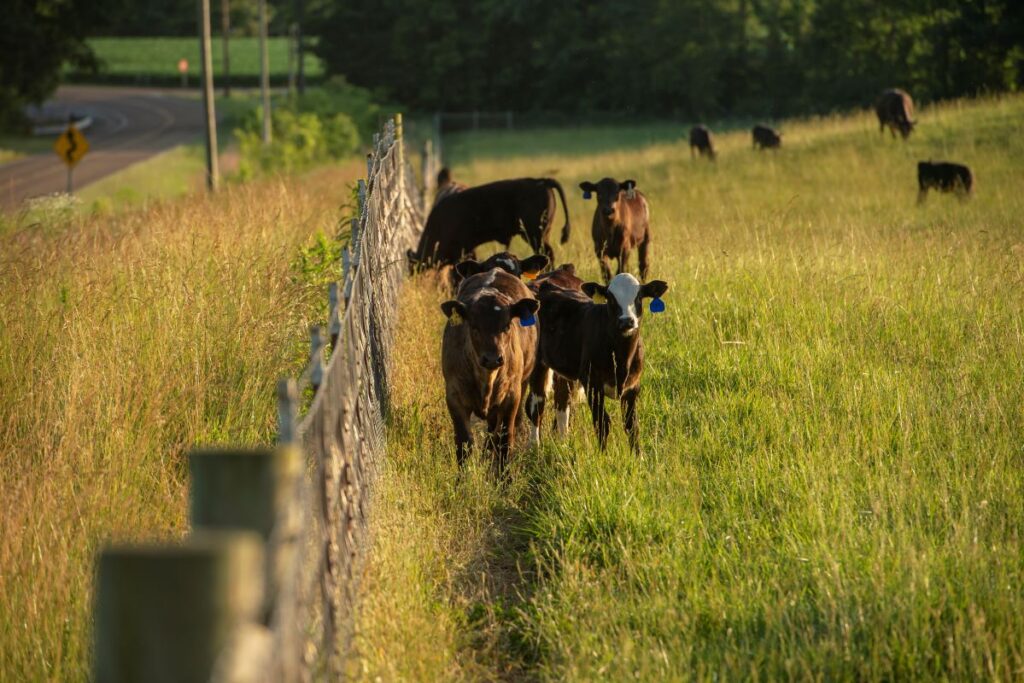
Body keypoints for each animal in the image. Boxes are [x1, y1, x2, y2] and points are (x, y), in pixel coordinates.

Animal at [440, 268, 540, 471]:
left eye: (507, 325)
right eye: (474, 326)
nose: (493, 358)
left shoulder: (511, 397)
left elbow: (505, 441)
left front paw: (505, 477)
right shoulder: (454, 396)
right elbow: (463, 443)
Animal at [526, 272, 668, 453]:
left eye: (638, 297)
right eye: (610, 298)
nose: (627, 321)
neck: (621, 359)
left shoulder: (633, 388)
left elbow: (632, 426)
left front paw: (638, 456)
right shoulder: (592, 385)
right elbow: (602, 423)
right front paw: (603, 455)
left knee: (562, 402)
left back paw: (563, 443)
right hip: (538, 363)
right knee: (537, 405)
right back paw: (534, 446)